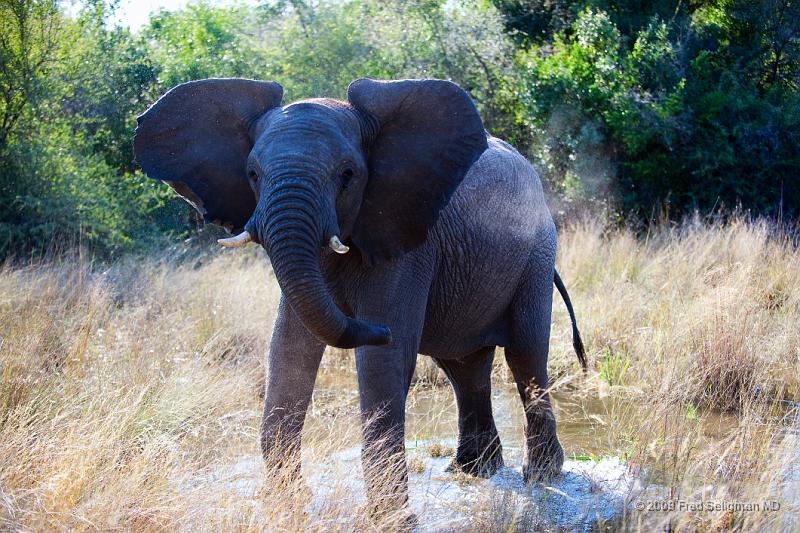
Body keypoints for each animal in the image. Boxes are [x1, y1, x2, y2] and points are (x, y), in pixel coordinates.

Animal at [133, 77, 588, 516]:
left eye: (348, 174)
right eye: (252, 174)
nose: (377, 328)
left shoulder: (407, 243)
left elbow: (383, 363)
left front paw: (393, 519)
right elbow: (288, 350)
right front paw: (288, 504)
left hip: (536, 253)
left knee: (526, 354)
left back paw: (540, 476)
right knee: (463, 366)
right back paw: (474, 471)